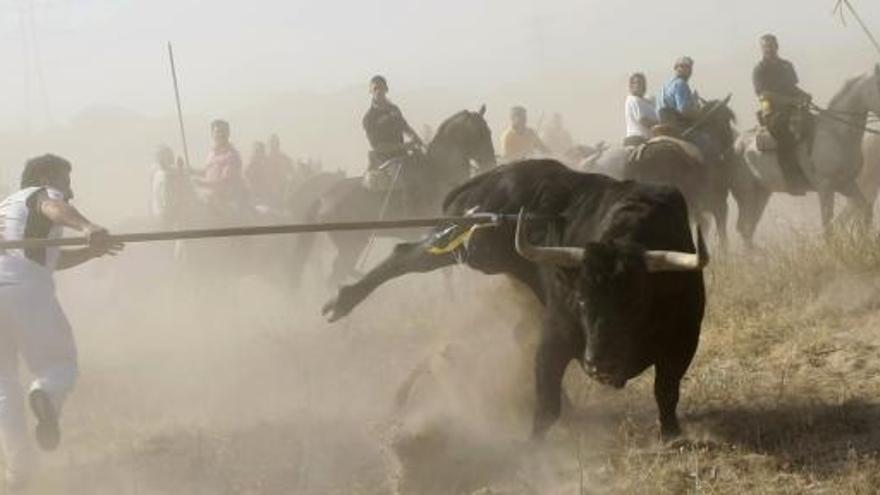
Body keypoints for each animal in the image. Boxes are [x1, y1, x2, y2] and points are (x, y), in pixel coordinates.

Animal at [290, 108, 492, 286]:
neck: (439, 170)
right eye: (480, 134)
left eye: (488, 131)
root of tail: (322, 198)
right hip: (351, 246)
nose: (490, 163)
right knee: (336, 275)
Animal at [324, 160, 708, 438]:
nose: (599, 363)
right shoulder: (555, 337)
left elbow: (666, 390)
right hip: (476, 245)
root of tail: (495, 175)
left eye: (636, 301)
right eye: (581, 300)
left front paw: (672, 434)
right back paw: (342, 301)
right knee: (408, 254)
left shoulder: (683, 340)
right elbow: (546, 403)